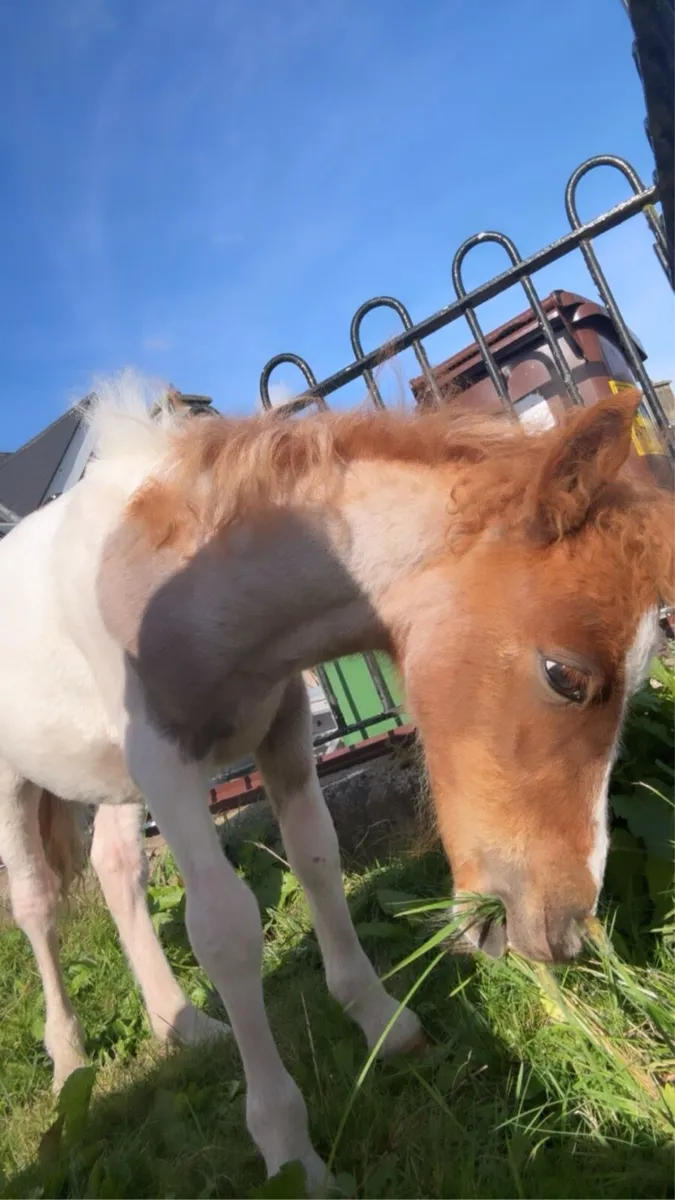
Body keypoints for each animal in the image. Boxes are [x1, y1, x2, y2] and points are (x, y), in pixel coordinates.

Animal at [0, 373, 671, 1191]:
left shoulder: (283, 722)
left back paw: (182, 1023)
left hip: (117, 779)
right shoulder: (165, 759)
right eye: (564, 675)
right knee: (36, 903)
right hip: (21, 779)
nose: (562, 930)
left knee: (117, 867)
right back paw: (69, 1066)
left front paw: (380, 1019)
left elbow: (317, 857)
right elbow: (223, 930)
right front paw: (289, 1149)